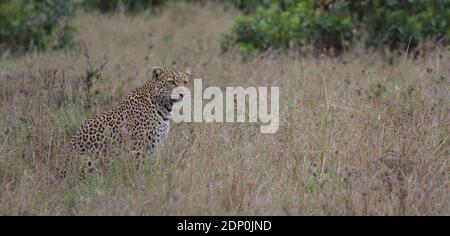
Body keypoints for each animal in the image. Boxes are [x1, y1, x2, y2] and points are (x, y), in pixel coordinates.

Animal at [57, 66, 191, 181]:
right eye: (172, 82)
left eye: (185, 82)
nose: (183, 94)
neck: (164, 108)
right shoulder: (139, 147)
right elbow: (140, 169)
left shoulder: (157, 145)